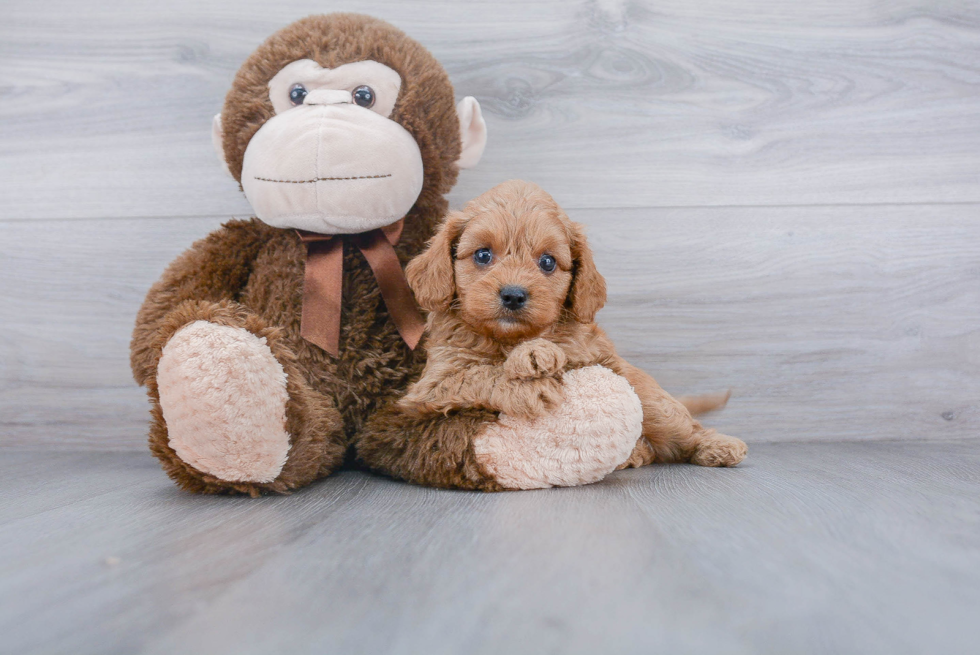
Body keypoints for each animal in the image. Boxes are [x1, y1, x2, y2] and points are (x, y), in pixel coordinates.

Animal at [400, 177, 752, 468]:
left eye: (547, 262)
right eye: (483, 255)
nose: (513, 295)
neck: (508, 338)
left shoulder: (597, 354)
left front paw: (534, 356)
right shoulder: (430, 386)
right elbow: (475, 373)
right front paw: (527, 383)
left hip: (655, 406)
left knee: (679, 424)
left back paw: (716, 445)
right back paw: (635, 454)